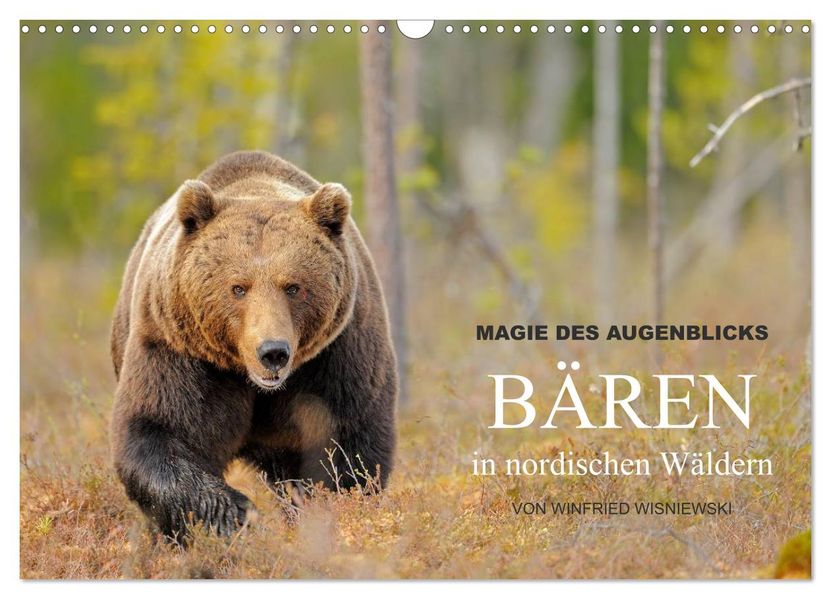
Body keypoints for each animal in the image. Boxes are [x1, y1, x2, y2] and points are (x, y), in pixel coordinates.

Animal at [109, 150, 398, 540]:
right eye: (238, 287)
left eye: (293, 286)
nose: (272, 352)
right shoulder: (180, 350)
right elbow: (159, 429)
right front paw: (236, 514)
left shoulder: (337, 354)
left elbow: (347, 448)